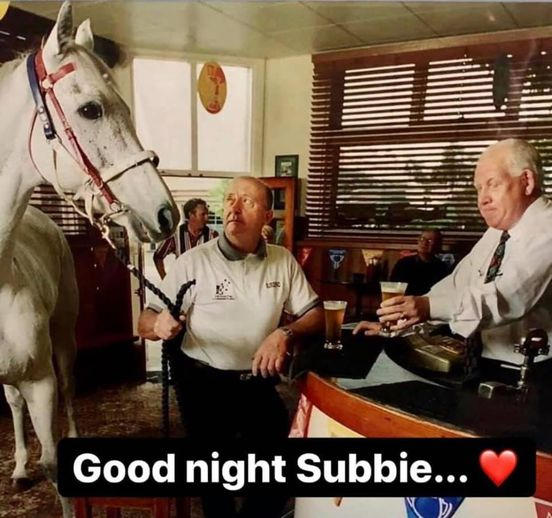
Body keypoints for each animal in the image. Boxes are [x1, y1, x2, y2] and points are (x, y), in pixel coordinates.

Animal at [0, 2, 178, 516]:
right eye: (90, 109)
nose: (166, 213)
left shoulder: (41, 381)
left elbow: (56, 467)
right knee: (13, 403)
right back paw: (19, 466)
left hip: (61, 344)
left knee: (67, 391)